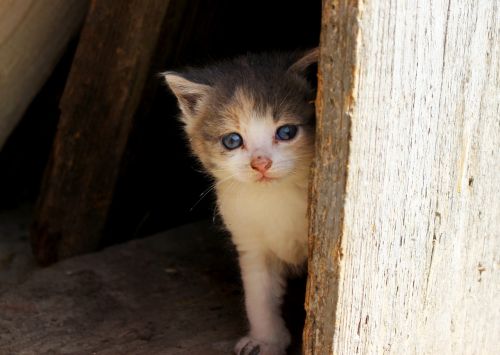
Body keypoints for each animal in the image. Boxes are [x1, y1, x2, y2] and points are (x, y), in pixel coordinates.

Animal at [166, 49, 318, 355]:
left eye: (286, 133)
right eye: (232, 140)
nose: (261, 163)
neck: (274, 197)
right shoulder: (250, 243)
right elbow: (259, 296)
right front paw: (266, 340)